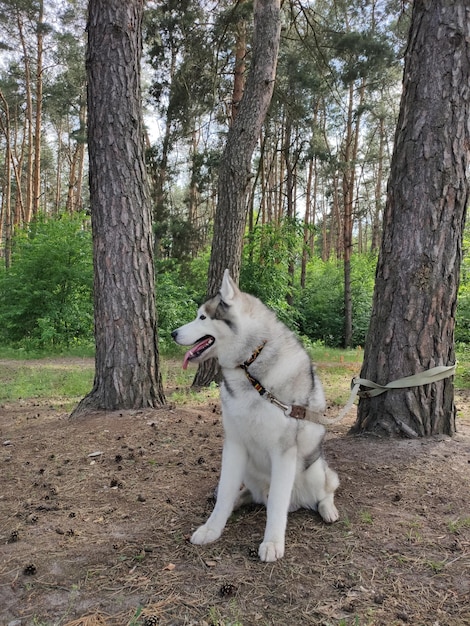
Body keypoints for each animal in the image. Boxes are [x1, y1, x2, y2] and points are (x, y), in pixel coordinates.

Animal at [172, 268, 338, 560]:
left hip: (315, 470)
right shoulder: (234, 445)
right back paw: (237, 500)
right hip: (250, 471)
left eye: (202, 317)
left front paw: (272, 543)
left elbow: (276, 507)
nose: (172, 333)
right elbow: (225, 493)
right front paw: (211, 528)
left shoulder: (284, 453)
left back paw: (328, 509)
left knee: (326, 489)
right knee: (245, 494)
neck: (250, 367)